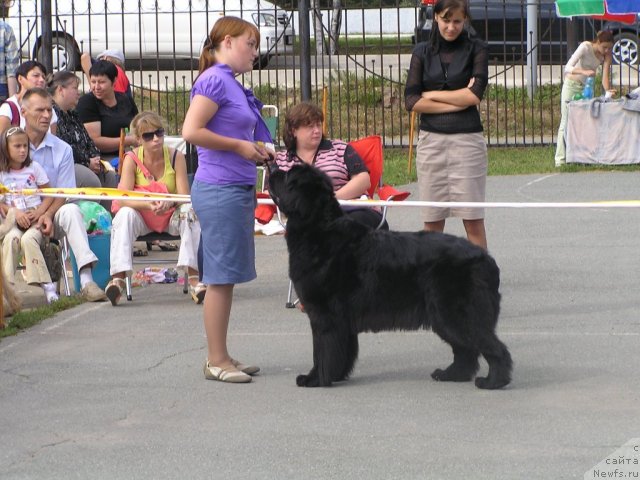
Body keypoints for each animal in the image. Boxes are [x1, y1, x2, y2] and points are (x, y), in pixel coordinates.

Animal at [268, 165, 512, 390]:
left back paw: (492, 382)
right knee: (466, 350)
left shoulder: (324, 315)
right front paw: (336, 375)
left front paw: (315, 379)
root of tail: (486, 259)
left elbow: (321, 351)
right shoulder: (341, 322)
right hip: (444, 317)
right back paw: (450, 374)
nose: (272, 168)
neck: (318, 229)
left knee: (492, 348)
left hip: (456, 314)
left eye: (288, 176)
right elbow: (341, 352)